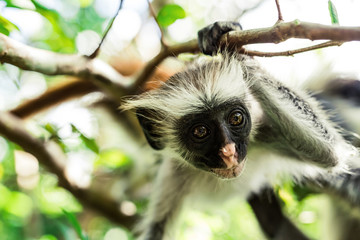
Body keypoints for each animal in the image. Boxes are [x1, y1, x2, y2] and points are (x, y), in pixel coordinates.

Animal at [122, 21, 358, 239]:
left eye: (236, 118)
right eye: (200, 131)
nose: (229, 151)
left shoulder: (261, 134)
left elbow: (329, 153)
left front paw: (228, 39)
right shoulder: (172, 174)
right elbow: (156, 230)